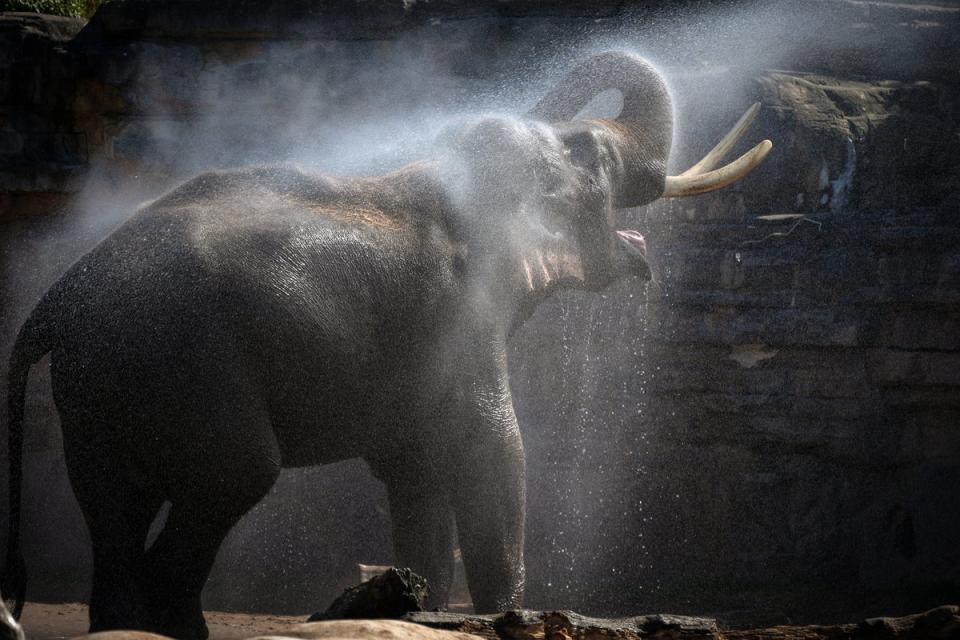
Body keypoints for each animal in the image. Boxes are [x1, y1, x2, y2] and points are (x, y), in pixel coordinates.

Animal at [0, 51, 768, 640]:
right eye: (597, 158)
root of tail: (54, 301)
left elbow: (418, 477)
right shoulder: (460, 321)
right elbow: (495, 456)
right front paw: (502, 615)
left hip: (101, 384)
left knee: (113, 511)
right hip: (188, 361)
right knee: (233, 476)